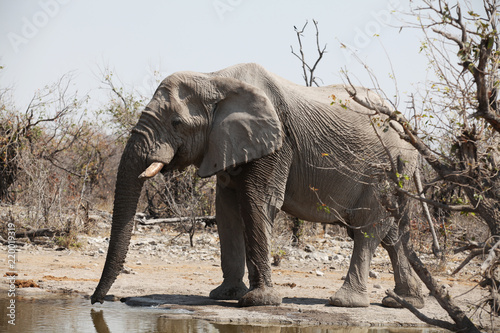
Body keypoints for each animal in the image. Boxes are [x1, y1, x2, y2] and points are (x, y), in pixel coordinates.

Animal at [90, 63, 422, 308]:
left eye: (176, 123)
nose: (97, 301)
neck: (215, 78)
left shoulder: (278, 142)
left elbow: (257, 201)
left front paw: (259, 301)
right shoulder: (226, 143)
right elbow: (226, 209)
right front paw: (224, 295)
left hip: (388, 169)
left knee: (368, 228)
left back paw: (346, 302)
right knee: (391, 232)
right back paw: (404, 301)